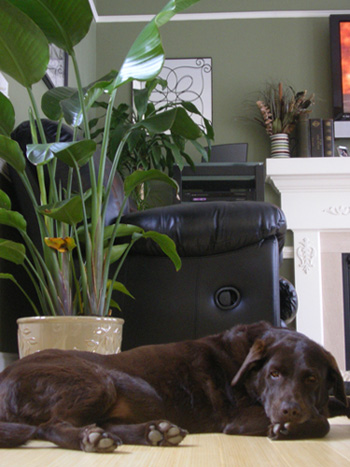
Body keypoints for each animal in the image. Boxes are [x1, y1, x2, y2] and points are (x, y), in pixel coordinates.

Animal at [0, 322, 348, 454]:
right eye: (274, 374)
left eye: (312, 378)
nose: (289, 411)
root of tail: (4, 376)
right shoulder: (239, 419)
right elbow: (322, 421)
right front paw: (287, 428)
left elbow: (331, 405)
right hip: (99, 381)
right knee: (50, 427)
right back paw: (92, 440)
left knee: (107, 425)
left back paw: (157, 432)